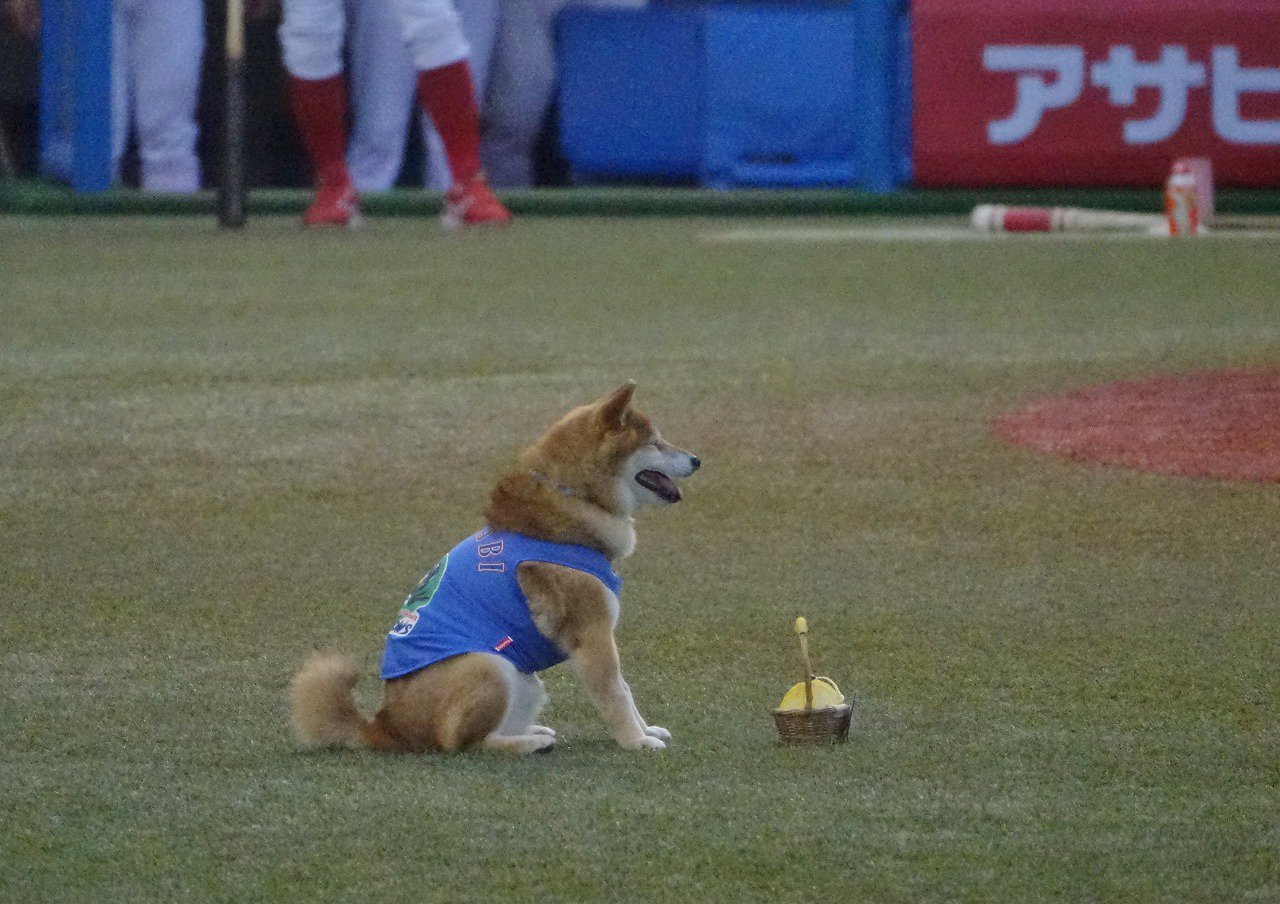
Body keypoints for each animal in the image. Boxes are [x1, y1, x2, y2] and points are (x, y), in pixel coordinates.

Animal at [290, 382, 700, 754]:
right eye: (656, 443)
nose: (697, 460)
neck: (572, 502)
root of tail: (386, 726)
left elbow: (624, 688)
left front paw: (646, 730)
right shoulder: (592, 634)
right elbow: (616, 693)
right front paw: (636, 741)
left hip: (525, 679)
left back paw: (533, 732)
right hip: (488, 667)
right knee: (465, 744)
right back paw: (530, 743)